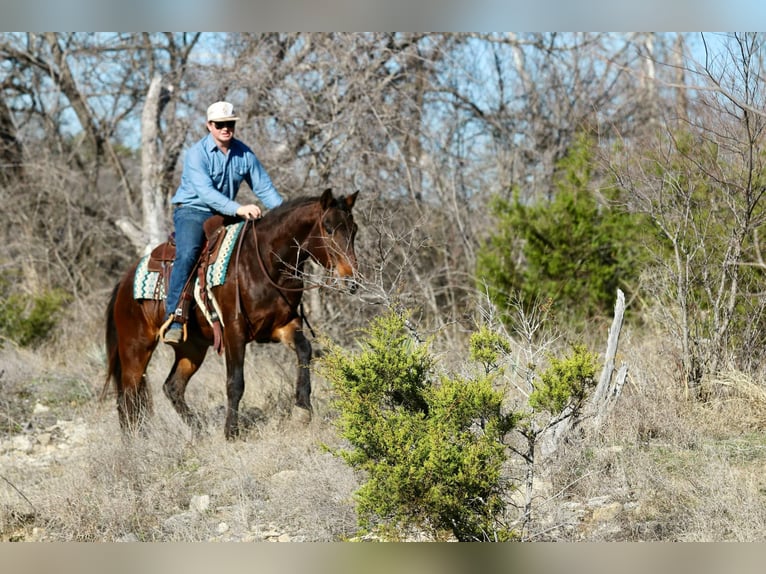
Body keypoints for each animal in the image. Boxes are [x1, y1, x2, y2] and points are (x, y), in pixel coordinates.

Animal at [103, 190, 362, 440]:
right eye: (328, 228)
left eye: (354, 229)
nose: (351, 281)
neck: (264, 263)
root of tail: (124, 282)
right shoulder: (234, 331)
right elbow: (235, 382)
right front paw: (231, 432)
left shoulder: (284, 325)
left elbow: (305, 351)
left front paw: (303, 410)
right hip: (136, 346)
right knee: (129, 394)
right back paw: (135, 440)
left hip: (192, 348)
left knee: (172, 387)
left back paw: (198, 431)